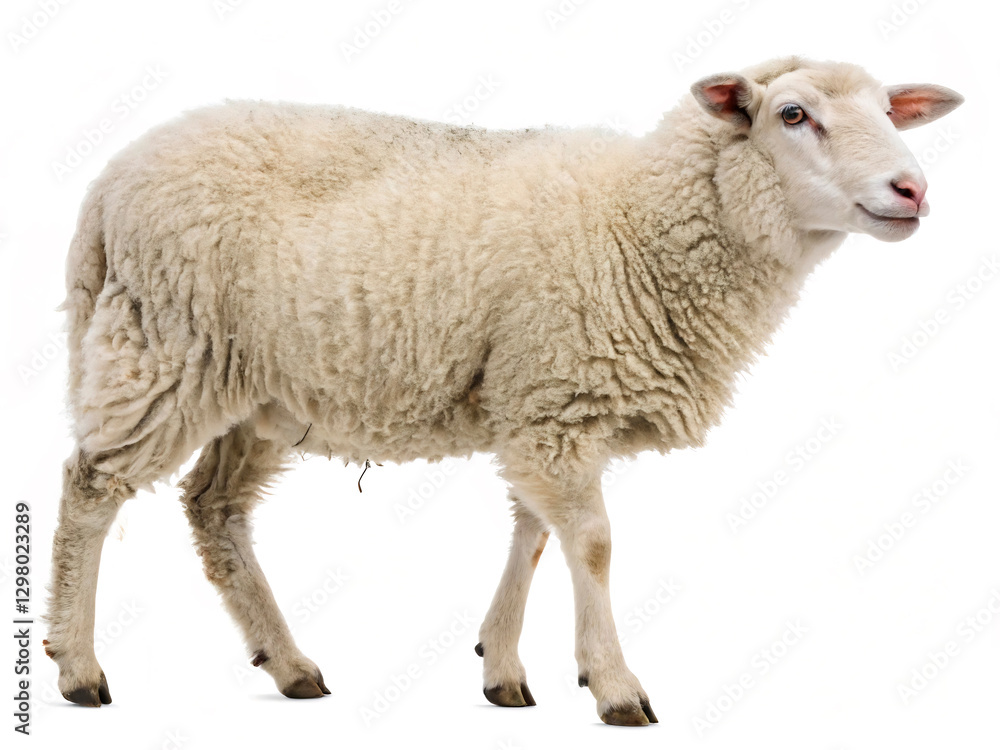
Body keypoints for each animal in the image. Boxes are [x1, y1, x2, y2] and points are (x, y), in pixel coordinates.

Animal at [44, 55, 962, 725]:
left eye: (889, 112)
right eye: (793, 115)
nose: (913, 190)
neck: (641, 224)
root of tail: (107, 182)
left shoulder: (539, 399)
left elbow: (534, 534)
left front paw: (504, 669)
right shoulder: (557, 397)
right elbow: (591, 543)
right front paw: (615, 684)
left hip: (258, 389)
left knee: (214, 509)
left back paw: (290, 663)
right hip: (163, 348)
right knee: (90, 488)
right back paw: (78, 668)